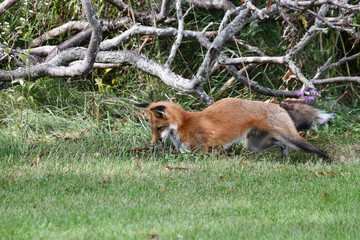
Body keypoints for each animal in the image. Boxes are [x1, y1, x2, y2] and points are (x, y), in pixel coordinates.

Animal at [136, 98, 334, 162]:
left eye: (159, 128)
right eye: (152, 129)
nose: (153, 143)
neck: (185, 124)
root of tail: (278, 105)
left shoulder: (201, 152)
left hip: (291, 138)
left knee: (315, 149)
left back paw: (329, 160)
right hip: (254, 145)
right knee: (279, 144)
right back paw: (284, 156)